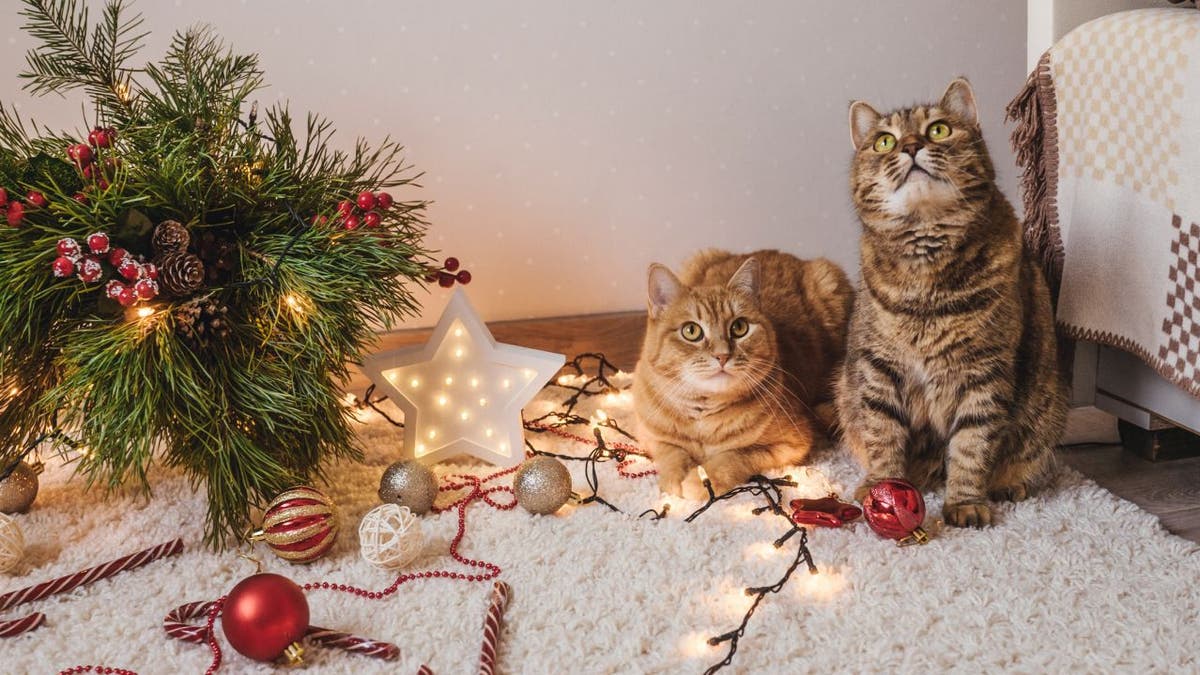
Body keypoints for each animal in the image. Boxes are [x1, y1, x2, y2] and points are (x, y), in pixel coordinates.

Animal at [638, 247, 854, 494]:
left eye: (739, 327)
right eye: (691, 331)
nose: (722, 355)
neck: (703, 417)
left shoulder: (790, 442)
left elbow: (730, 458)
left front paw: (699, 481)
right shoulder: (648, 433)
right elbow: (672, 453)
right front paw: (675, 479)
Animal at [835, 76, 1070, 523]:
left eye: (939, 130)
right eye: (885, 141)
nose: (911, 145)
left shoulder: (985, 371)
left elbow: (971, 445)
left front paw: (964, 503)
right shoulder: (879, 367)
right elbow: (882, 433)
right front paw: (882, 488)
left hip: (1045, 407)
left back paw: (1007, 484)